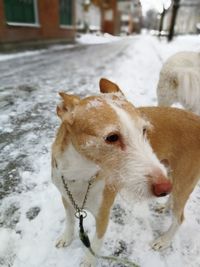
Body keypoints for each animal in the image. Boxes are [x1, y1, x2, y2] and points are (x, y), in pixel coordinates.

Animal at [51, 78, 200, 266]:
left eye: (144, 130)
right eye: (112, 137)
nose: (163, 188)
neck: (80, 175)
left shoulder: (103, 214)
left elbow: (96, 243)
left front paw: (89, 260)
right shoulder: (66, 197)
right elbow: (70, 221)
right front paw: (66, 237)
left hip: (183, 181)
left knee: (179, 218)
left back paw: (164, 240)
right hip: (173, 175)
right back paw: (166, 206)